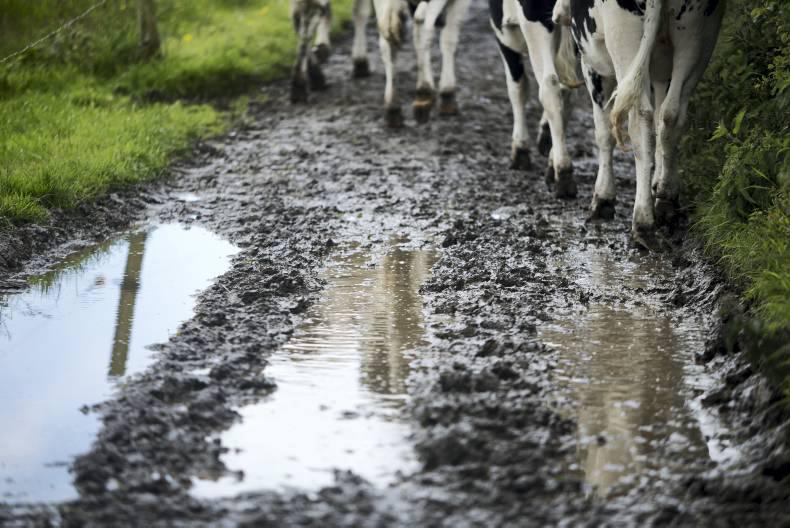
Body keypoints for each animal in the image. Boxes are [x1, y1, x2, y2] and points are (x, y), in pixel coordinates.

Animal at [490, 0, 582, 198]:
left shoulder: (503, 31)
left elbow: (517, 87)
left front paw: (520, 149)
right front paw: (545, 134)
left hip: (535, 22)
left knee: (549, 86)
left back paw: (563, 175)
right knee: (566, 90)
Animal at [553, 0, 724, 246]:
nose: (559, 16)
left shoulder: (592, 65)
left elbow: (603, 133)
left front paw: (603, 198)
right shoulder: (663, 71)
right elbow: (662, 120)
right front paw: (657, 184)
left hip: (624, 37)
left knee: (640, 118)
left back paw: (643, 222)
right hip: (698, 35)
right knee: (672, 114)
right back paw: (666, 201)